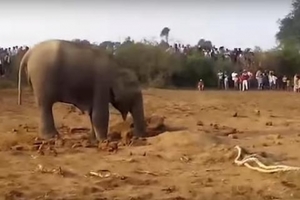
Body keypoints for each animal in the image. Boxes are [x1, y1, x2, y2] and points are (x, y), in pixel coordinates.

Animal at [17, 39, 146, 141]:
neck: (118, 67)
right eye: (135, 93)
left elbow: (92, 113)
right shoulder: (101, 84)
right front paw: (104, 140)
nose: (139, 136)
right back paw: (52, 137)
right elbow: (99, 114)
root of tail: (29, 53)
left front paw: (93, 138)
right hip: (41, 76)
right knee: (45, 106)